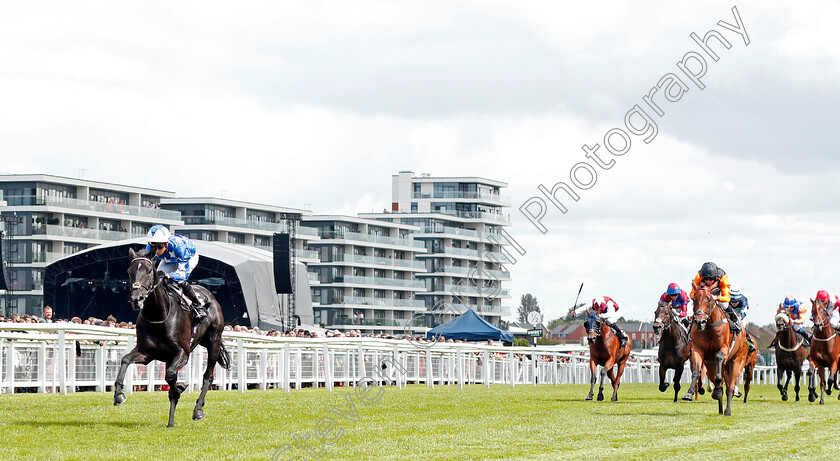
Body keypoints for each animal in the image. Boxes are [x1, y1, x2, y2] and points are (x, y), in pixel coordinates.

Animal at [111, 250, 231, 426]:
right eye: (129, 271)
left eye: (149, 271)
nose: (136, 299)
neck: (158, 315)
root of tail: (211, 297)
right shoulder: (146, 353)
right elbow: (125, 359)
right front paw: (119, 394)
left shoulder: (183, 353)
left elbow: (171, 376)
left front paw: (179, 389)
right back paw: (171, 421)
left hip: (213, 341)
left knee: (208, 376)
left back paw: (198, 409)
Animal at [688, 286, 748, 416]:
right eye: (694, 299)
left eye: (709, 299)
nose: (700, 321)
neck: (709, 327)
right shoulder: (697, 350)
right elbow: (696, 371)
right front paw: (689, 393)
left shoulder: (724, 349)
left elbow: (719, 359)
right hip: (711, 366)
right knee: (718, 383)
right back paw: (720, 405)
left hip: (736, 360)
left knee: (730, 387)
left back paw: (727, 410)